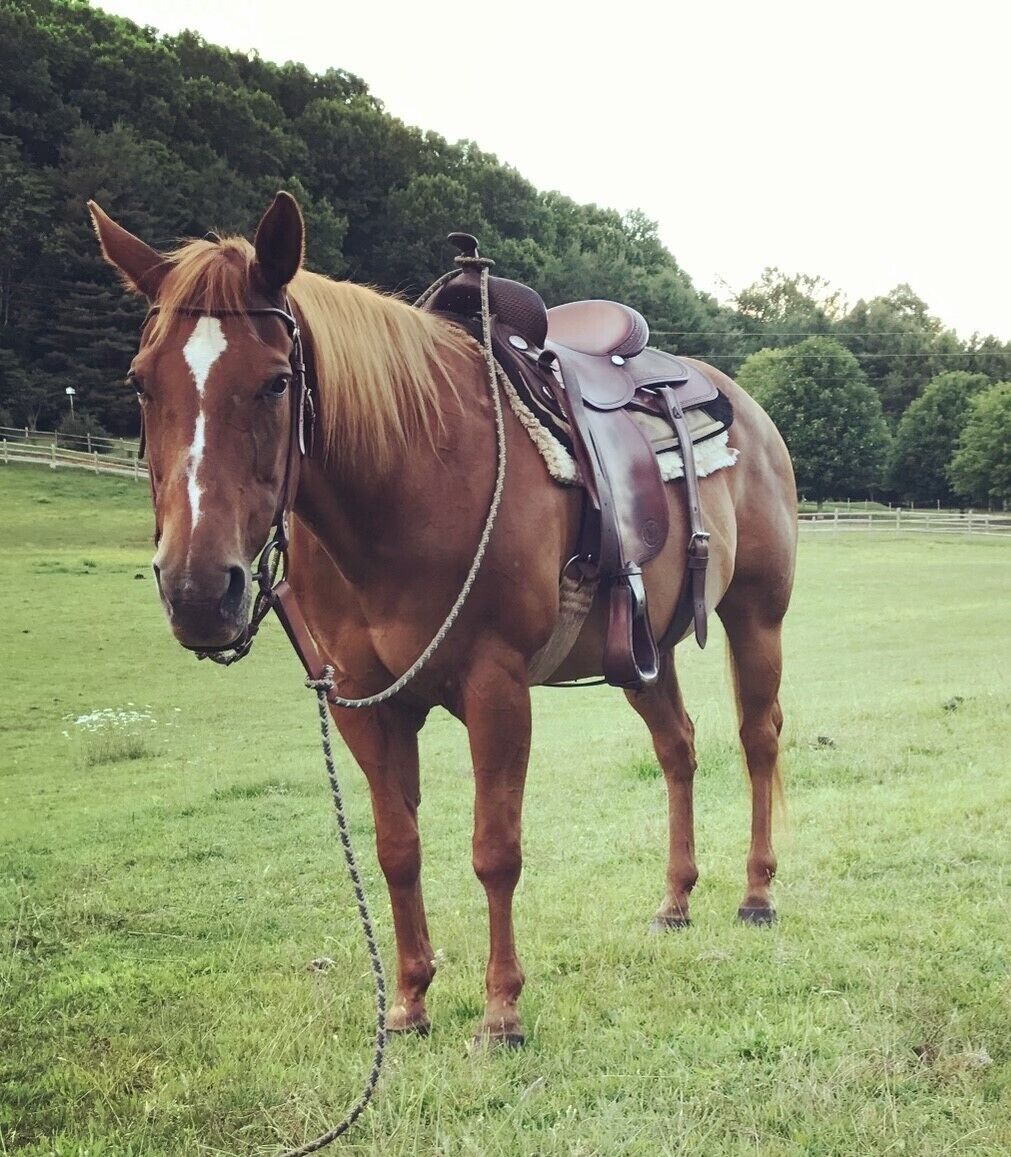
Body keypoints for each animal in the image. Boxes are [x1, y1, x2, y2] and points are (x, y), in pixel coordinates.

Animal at [89, 191, 797, 1046]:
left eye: (277, 381)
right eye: (139, 383)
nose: (197, 590)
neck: (408, 481)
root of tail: (741, 401)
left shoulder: (495, 688)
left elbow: (495, 849)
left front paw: (500, 1011)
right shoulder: (364, 699)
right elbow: (397, 847)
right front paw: (408, 1000)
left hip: (754, 614)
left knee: (756, 739)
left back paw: (755, 894)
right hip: (638, 648)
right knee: (678, 749)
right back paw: (675, 899)